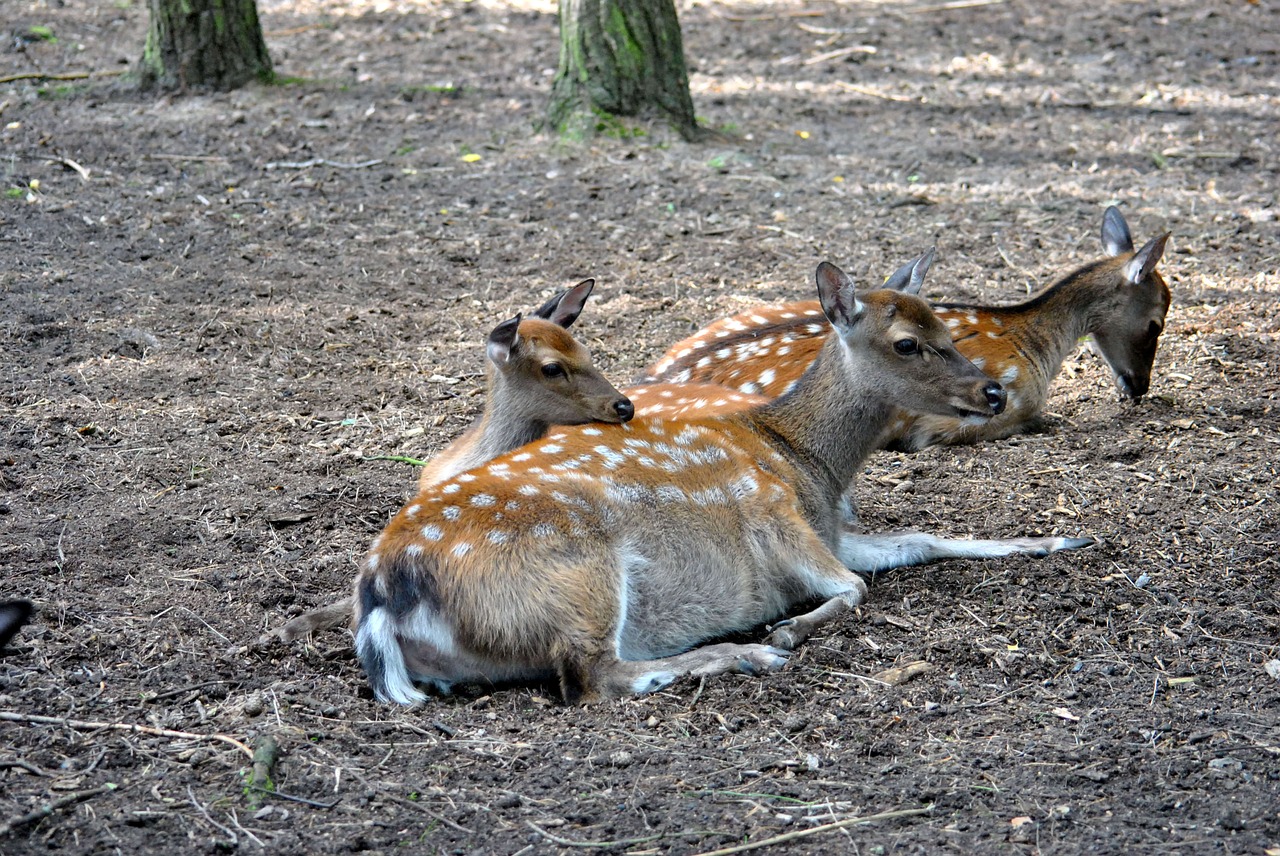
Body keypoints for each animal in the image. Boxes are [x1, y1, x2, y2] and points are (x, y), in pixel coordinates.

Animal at [355, 255, 1095, 701]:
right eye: (908, 343)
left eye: (945, 321)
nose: (993, 393)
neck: (805, 460)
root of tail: (384, 596)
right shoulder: (780, 521)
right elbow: (855, 588)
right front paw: (785, 632)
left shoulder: (828, 530)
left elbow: (924, 538)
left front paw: (1064, 540)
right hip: (579, 575)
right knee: (594, 676)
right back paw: (743, 655)